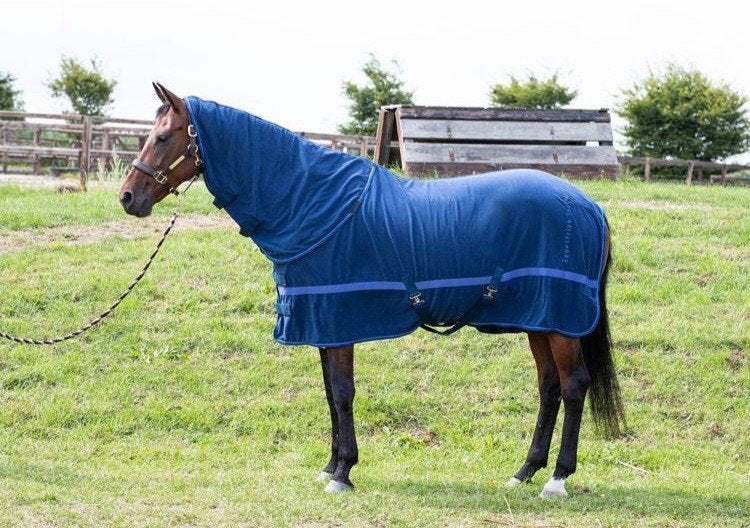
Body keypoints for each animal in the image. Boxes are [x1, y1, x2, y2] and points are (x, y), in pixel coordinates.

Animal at [119, 83, 625, 499]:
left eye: (162, 137)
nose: (128, 197)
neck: (313, 204)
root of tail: (589, 206)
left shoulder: (338, 320)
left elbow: (343, 392)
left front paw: (343, 473)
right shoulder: (322, 324)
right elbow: (329, 393)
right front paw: (330, 466)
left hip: (560, 322)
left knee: (573, 386)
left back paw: (557, 479)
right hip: (539, 319)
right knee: (549, 387)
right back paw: (524, 472)